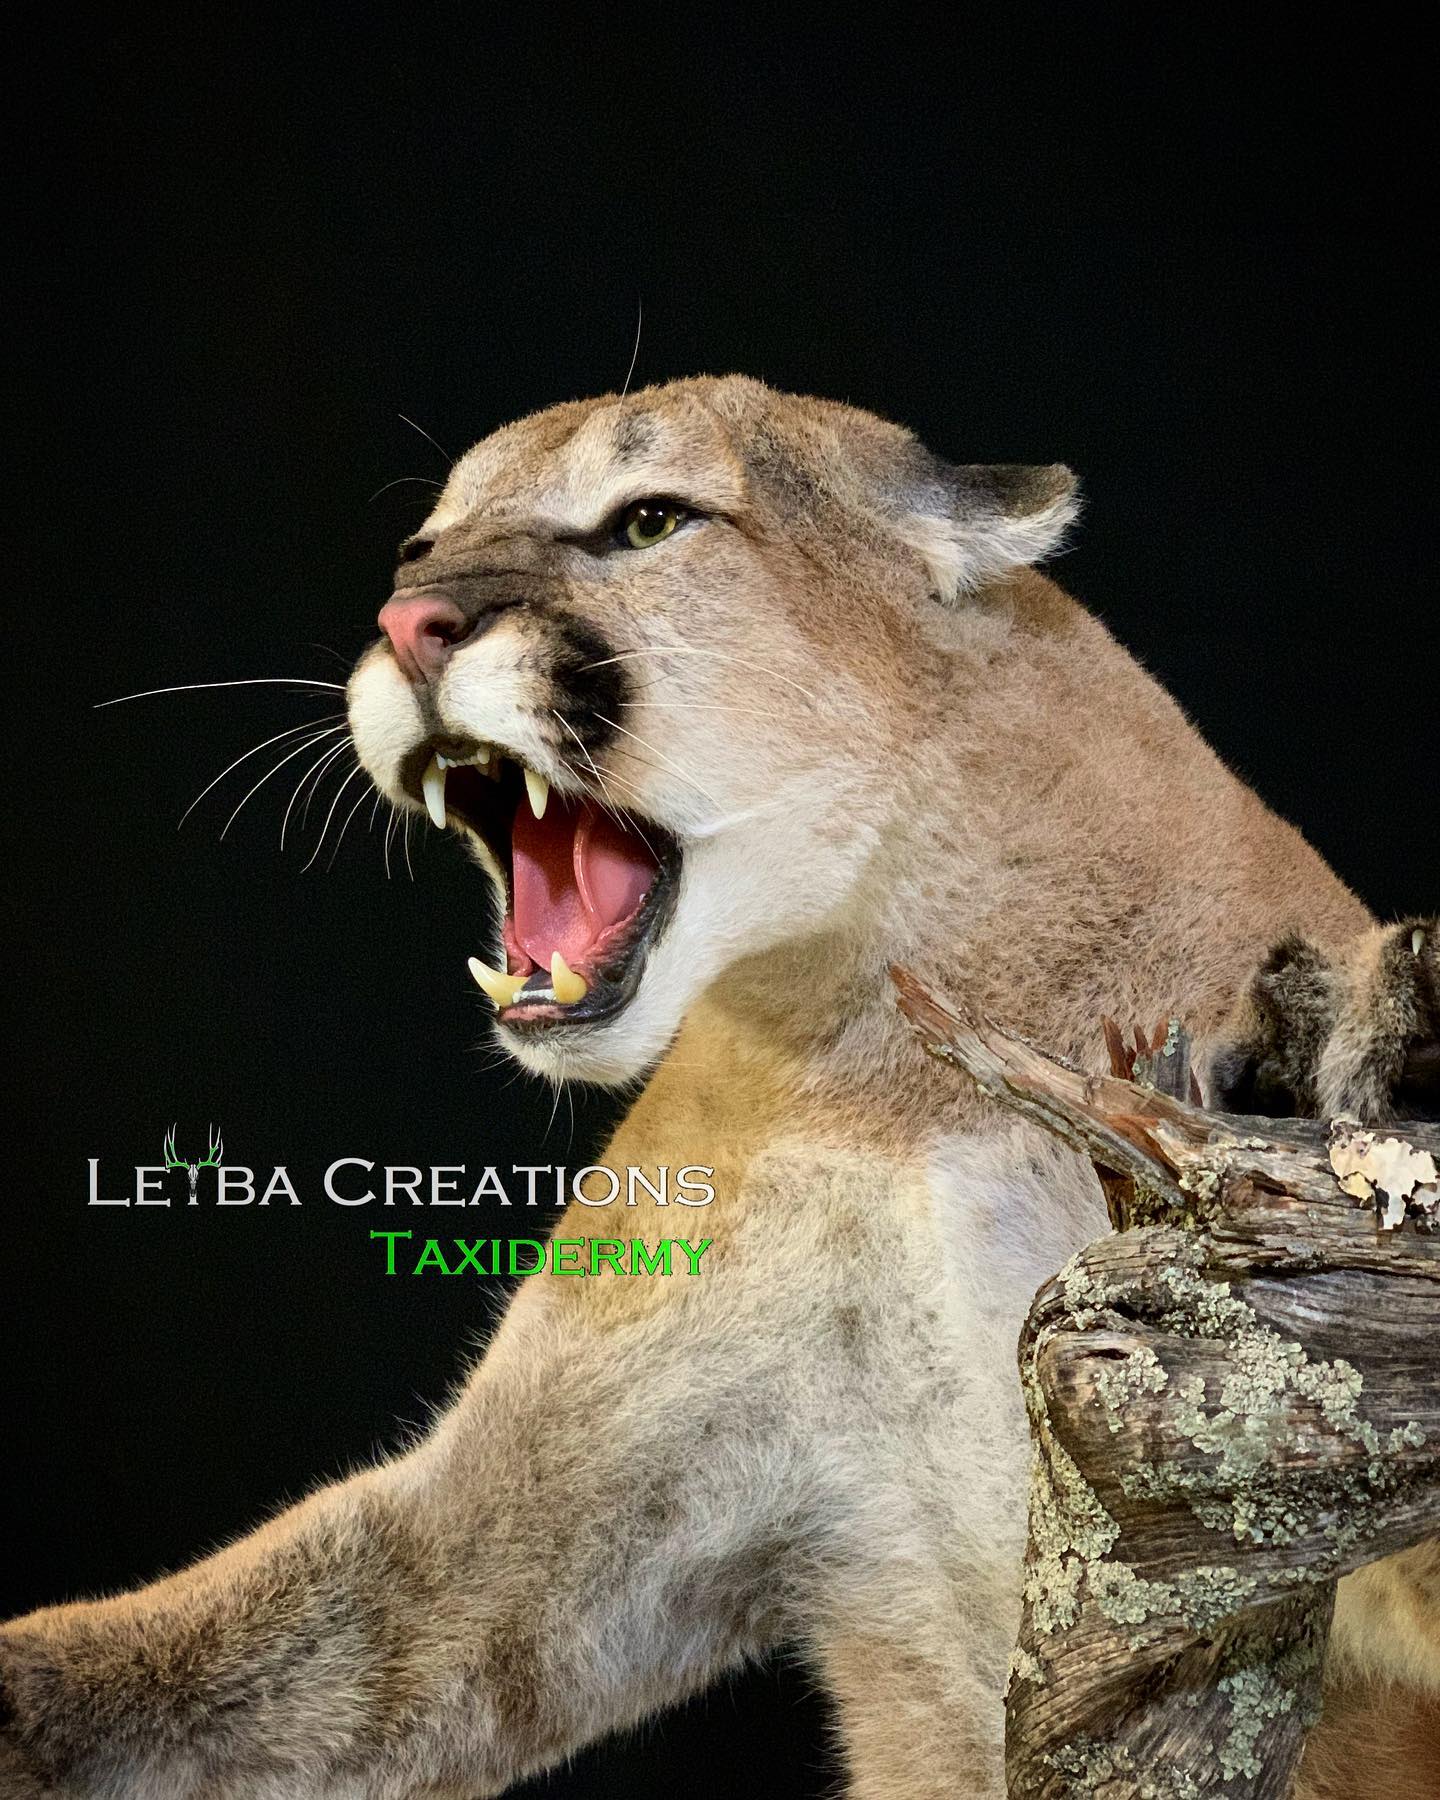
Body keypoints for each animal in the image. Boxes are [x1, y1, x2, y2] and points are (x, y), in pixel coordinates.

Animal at [2, 376, 1432, 1797]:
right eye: (418, 550)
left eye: (648, 522)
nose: (410, 625)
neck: (883, 1062)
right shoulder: (506, 1545)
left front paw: (1329, 1076)